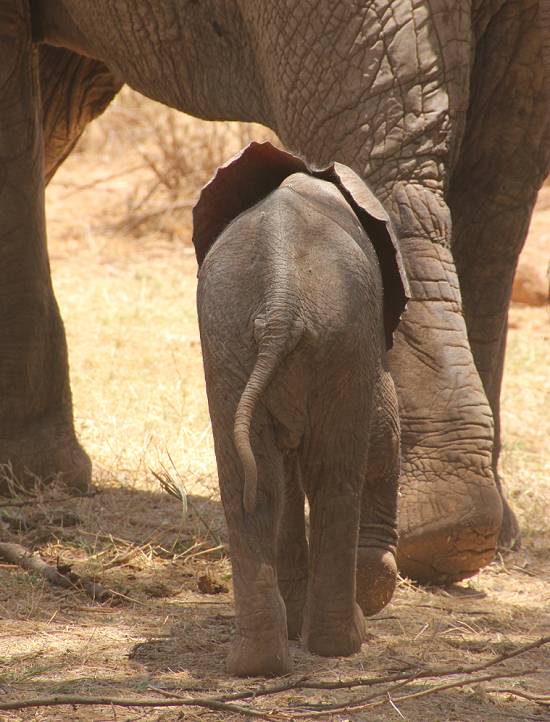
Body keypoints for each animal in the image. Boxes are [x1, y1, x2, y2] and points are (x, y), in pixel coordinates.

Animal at [194, 142, 410, 676]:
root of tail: (281, 303)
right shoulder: (366, 338)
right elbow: (383, 434)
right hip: (340, 333)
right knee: (335, 473)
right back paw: (343, 641)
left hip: (229, 337)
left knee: (251, 482)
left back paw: (257, 663)